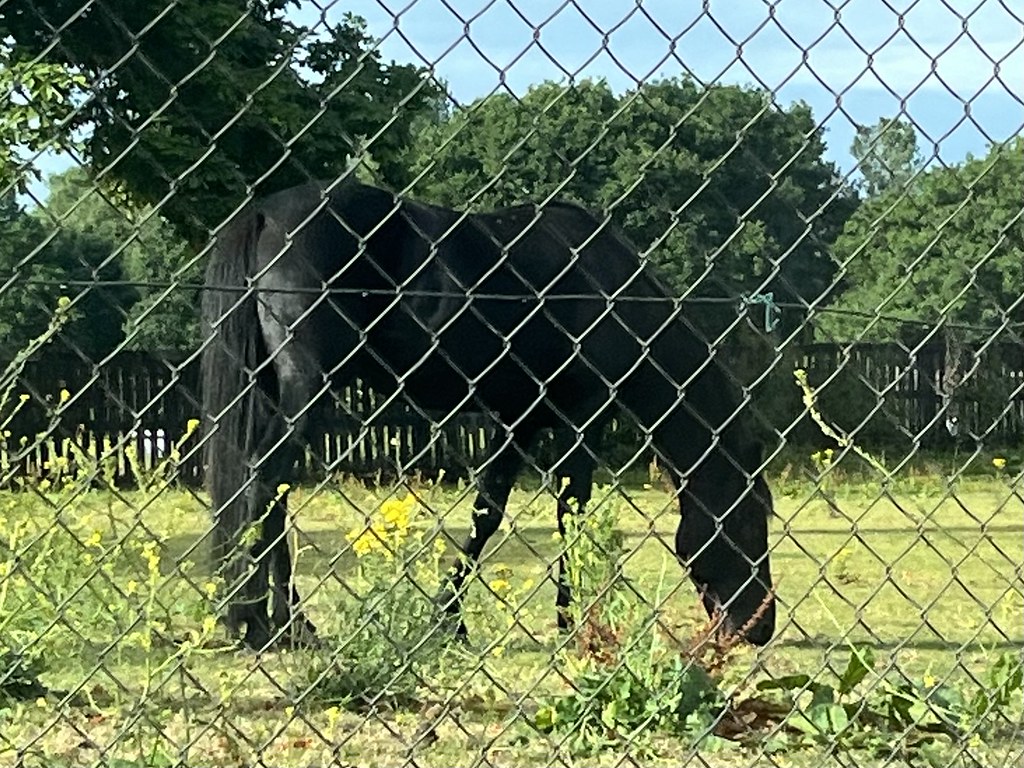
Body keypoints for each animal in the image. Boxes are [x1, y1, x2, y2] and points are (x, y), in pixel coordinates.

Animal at [200, 179, 776, 652]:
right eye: (750, 521)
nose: (760, 629)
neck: (607, 290)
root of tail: (265, 212)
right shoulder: (580, 417)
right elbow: (570, 511)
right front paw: (568, 624)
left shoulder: (519, 418)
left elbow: (487, 513)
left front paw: (449, 619)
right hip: (308, 390)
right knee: (264, 483)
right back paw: (267, 625)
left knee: (269, 492)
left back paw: (286, 625)